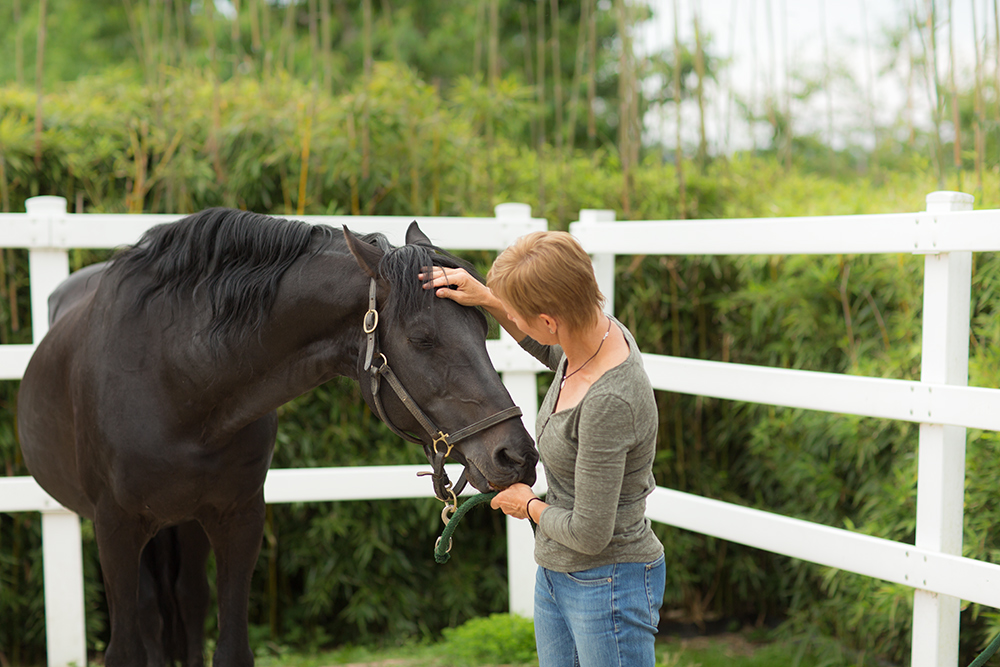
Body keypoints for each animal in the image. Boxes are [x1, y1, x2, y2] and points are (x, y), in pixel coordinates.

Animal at [17, 206, 540, 664]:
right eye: (422, 339)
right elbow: (125, 650)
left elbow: (230, 650)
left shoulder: (241, 519)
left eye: (483, 326)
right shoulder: (115, 528)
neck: (176, 379)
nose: (516, 455)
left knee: (187, 601)